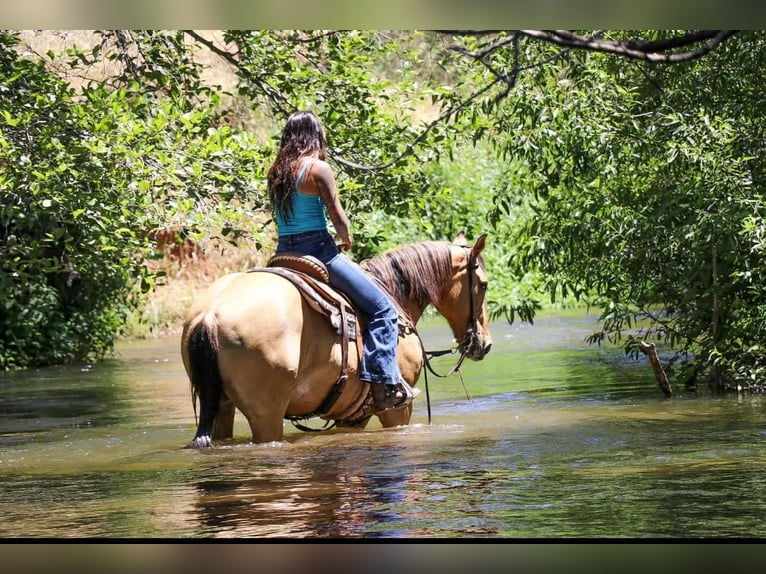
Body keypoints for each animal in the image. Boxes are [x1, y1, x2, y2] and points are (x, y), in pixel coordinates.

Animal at [181, 232, 492, 447]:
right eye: (485, 284)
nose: (485, 344)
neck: (393, 293)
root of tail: (210, 313)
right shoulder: (398, 410)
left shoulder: (352, 416)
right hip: (265, 415)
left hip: (222, 407)